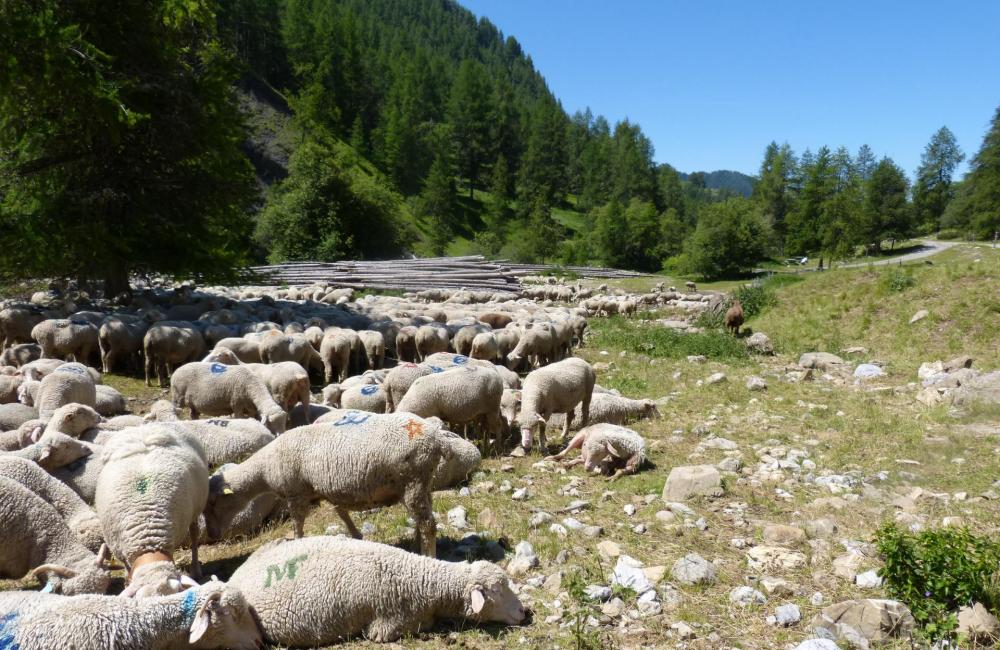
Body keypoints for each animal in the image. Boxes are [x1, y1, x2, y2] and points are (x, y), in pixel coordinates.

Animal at [205, 412, 444, 556]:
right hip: (422, 483)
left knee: (428, 524)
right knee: (423, 519)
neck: (264, 469)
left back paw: (429, 555)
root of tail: (435, 439)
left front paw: (297, 542)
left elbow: (298, 524)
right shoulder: (328, 491)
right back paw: (416, 546)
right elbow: (341, 513)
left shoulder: (296, 494)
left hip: (413, 482)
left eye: (213, 503)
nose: (212, 535)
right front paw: (357, 535)